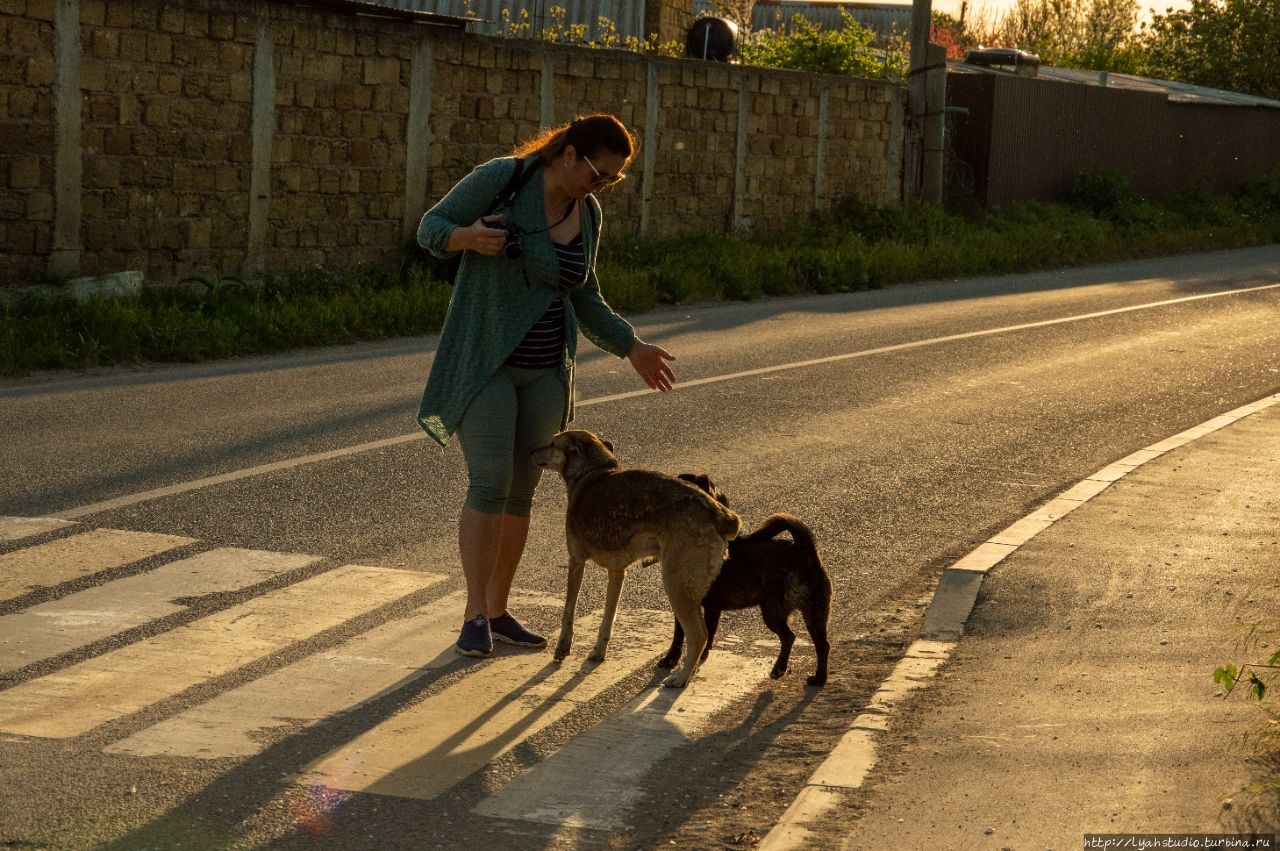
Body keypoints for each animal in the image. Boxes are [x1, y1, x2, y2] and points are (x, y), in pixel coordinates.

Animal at [529, 427, 747, 685]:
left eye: (553, 443)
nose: (531, 451)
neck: (592, 472)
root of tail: (720, 513)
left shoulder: (576, 562)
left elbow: (568, 611)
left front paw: (562, 649)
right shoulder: (617, 573)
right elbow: (608, 618)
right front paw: (598, 652)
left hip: (676, 585)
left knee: (698, 635)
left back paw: (680, 678)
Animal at [660, 473, 829, 685]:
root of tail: (804, 552)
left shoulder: (684, 602)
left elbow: (679, 635)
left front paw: (671, 659)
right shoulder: (712, 608)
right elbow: (709, 633)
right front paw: (702, 655)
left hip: (774, 612)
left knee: (789, 637)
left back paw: (779, 669)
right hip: (816, 613)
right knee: (822, 645)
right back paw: (819, 678)